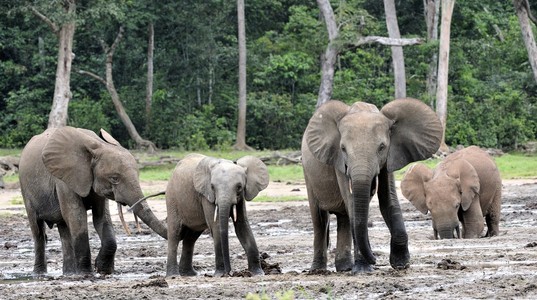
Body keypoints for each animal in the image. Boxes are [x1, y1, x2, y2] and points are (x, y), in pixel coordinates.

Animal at [19, 125, 168, 276]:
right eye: (114, 178)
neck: (98, 146)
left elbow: (101, 217)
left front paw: (103, 269)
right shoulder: (64, 179)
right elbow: (77, 216)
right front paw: (87, 273)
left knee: (64, 228)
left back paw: (69, 273)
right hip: (26, 189)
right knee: (38, 230)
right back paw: (40, 273)